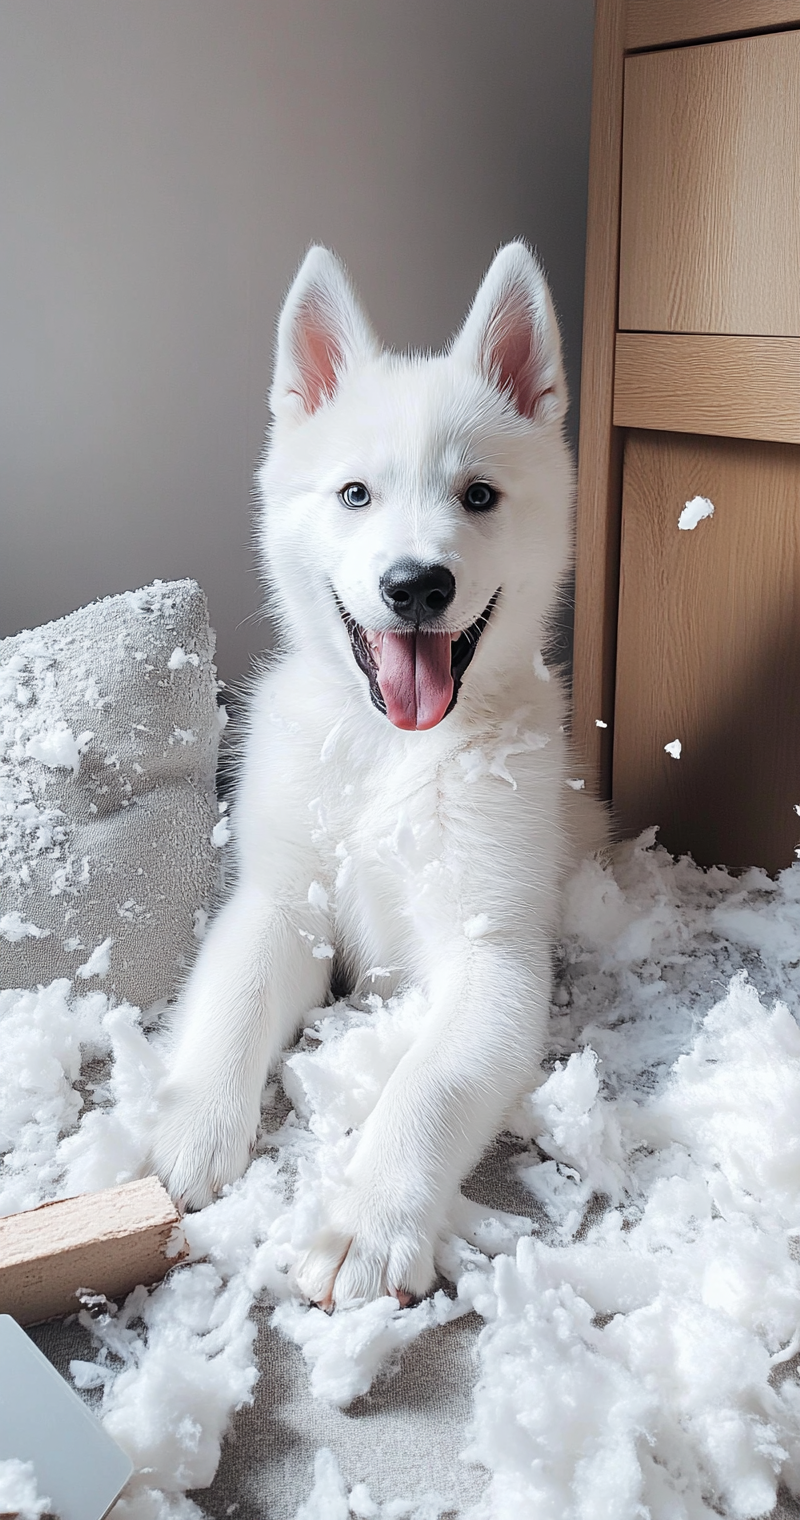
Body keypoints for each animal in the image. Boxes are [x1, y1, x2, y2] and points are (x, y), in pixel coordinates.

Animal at [152, 237, 602, 1307]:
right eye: (355, 495)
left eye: (479, 495)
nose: (416, 586)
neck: (396, 749)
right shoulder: (280, 901)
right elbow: (232, 1000)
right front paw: (194, 1129)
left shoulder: (495, 956)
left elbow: (430, 1085)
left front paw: (368, 1220)